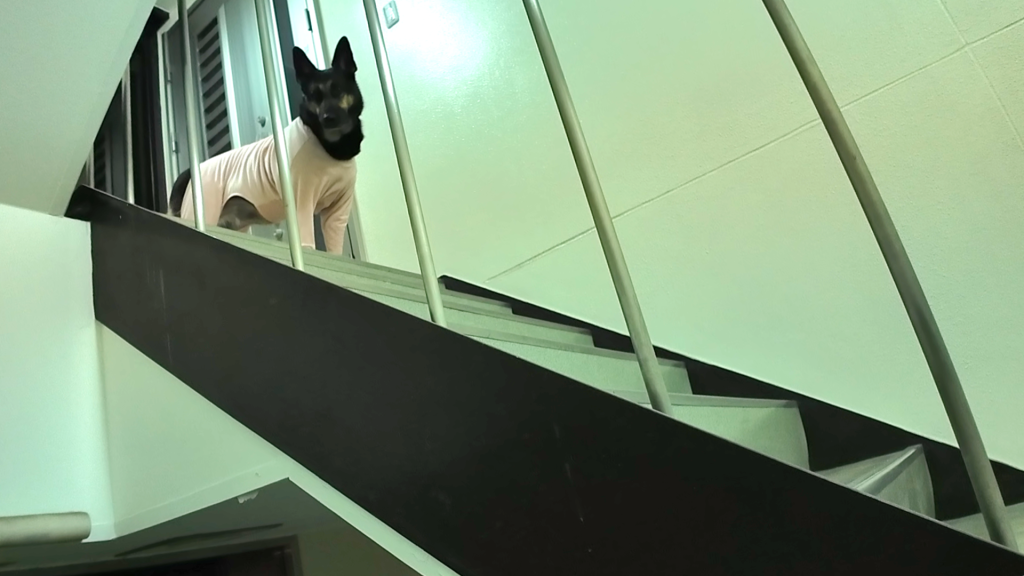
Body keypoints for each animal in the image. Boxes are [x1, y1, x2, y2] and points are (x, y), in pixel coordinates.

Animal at [169, 36, 364, 254]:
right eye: (314, 95)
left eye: (337, 89)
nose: (327, 118)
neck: (331, 145)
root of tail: (189, 173)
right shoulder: (302, 202)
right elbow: (307, 243)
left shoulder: (338, 212)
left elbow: (335, 249)